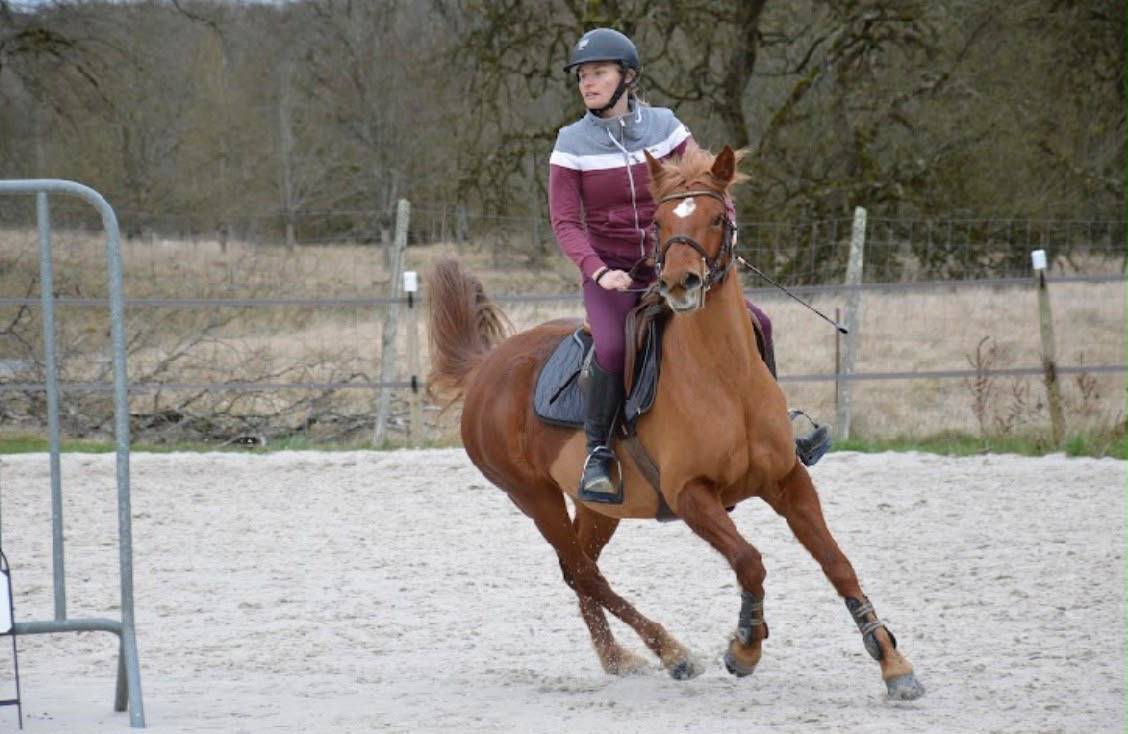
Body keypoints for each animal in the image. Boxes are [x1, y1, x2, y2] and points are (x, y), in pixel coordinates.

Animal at [425, 145, 925, 700]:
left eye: (717, 217)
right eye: (660, 222)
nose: (678, 284)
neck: (724, 377)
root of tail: (487, 367)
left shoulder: (788, 480)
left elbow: (837, 563)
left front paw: (892, 662)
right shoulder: (691, 495)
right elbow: (750, 561)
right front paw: (745, 645)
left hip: (598, 507)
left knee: (579, 570)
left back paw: (617, 659)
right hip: (533, 496)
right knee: (583, 572)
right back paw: (672, 653)